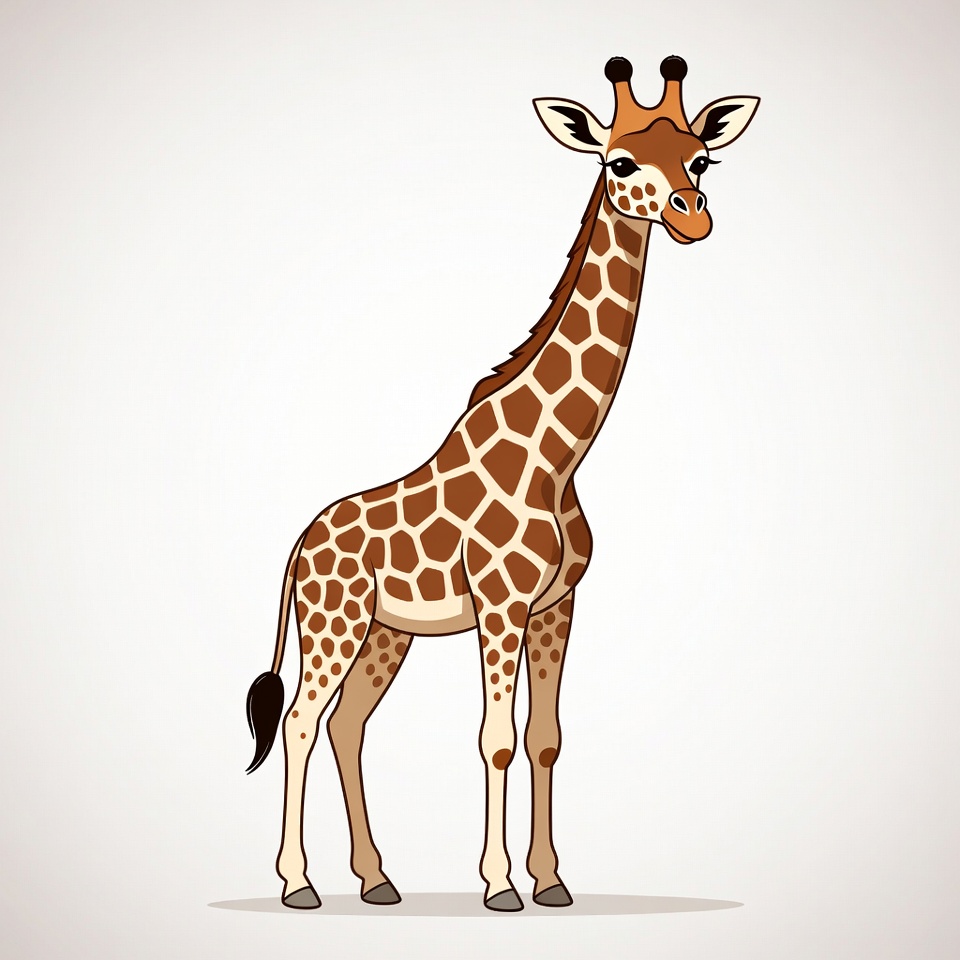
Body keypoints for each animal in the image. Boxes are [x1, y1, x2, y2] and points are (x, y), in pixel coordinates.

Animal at [245, 55, 759, 912]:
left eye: (701, 161)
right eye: (620, 163)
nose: (693, 220)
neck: (557, 459)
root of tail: (298, 548)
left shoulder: (557, 606)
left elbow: (546, 740)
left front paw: (550, 881)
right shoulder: (501, 605)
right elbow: (496, 740)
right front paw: (497, 886)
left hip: (385, 635)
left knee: (348, 724)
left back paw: (377, 879)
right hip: (333, 624)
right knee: (301, 723)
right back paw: (297, 884)